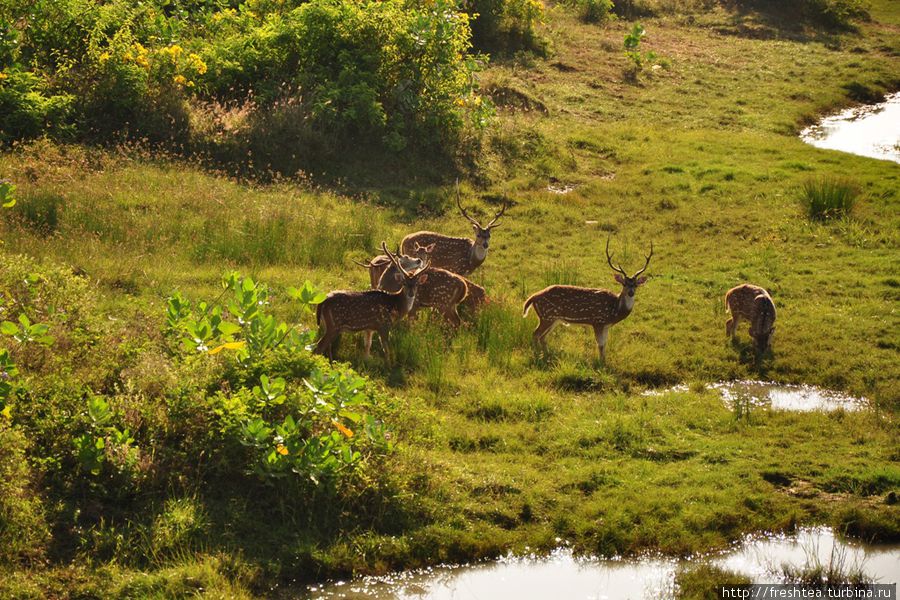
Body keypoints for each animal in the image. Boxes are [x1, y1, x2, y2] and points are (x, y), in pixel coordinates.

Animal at [520, 238, 652, 360]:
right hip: (547, 316)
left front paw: (604, 361)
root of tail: (533, 297)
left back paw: (546, 355)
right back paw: (538, 356)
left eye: (635, 285)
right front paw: (601, 363)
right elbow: (600, 344)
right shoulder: (598, 321)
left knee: (543, 336)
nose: (630, 292)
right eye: (624, 284)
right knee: (535, 334)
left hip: (554, 319)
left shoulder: (606, 325)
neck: (614, 311)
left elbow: (605, 344)